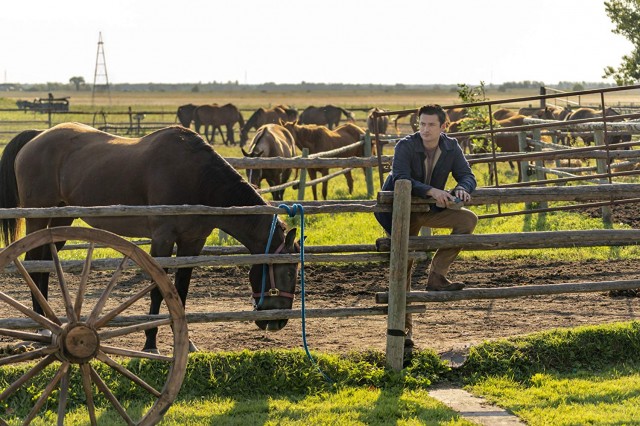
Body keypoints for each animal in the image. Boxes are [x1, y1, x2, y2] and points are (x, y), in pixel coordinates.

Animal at [0, 122, 300, 352]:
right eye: (287, 271)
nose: (278, 321)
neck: (197, 178)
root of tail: (37, 136)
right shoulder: (162, 240)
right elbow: (159, 290)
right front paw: (150, 343)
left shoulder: (193, 243)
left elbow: (180, 291)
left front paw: (186, 342)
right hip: (38, 218)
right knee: (33, 264)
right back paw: (40, 328)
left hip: (62, 219)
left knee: (43, 265)